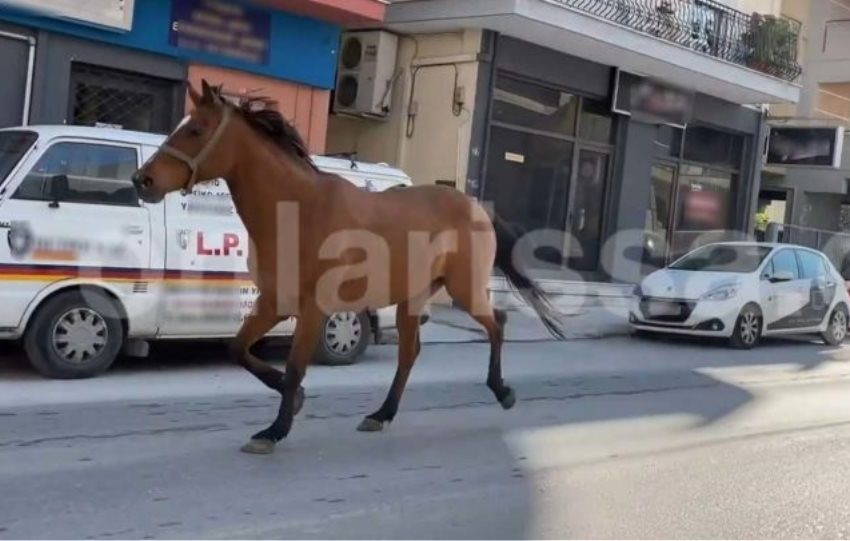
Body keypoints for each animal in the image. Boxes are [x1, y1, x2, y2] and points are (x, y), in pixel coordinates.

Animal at [131, 79, 564, 452]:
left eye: (196, 129)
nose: (142, 180)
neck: (297, 210)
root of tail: (476, 207)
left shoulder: (312, 308)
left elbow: (294, 367)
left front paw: (274, 430)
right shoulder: (273, 302)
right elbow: (238, 349)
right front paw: (294, 403)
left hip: (465, 288)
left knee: (496, 324)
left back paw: (503, 391)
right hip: (412, 299)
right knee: (410, 353)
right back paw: (381, 415)